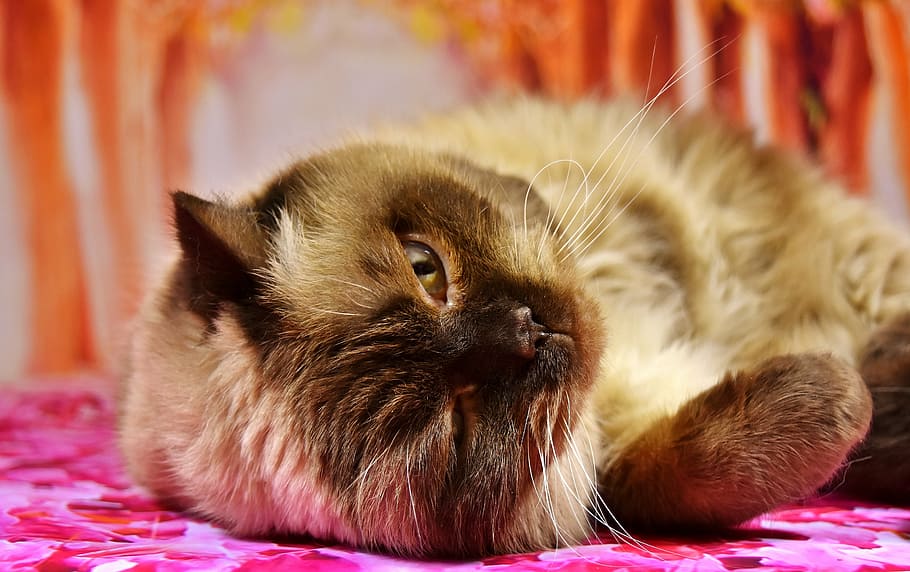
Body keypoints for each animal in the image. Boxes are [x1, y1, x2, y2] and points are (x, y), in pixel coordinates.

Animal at [121, 98, 910, 560]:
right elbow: (675, 468)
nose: (529, 333)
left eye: (426, 269)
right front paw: (842, 397)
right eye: (457, 426)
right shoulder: (614, 453)